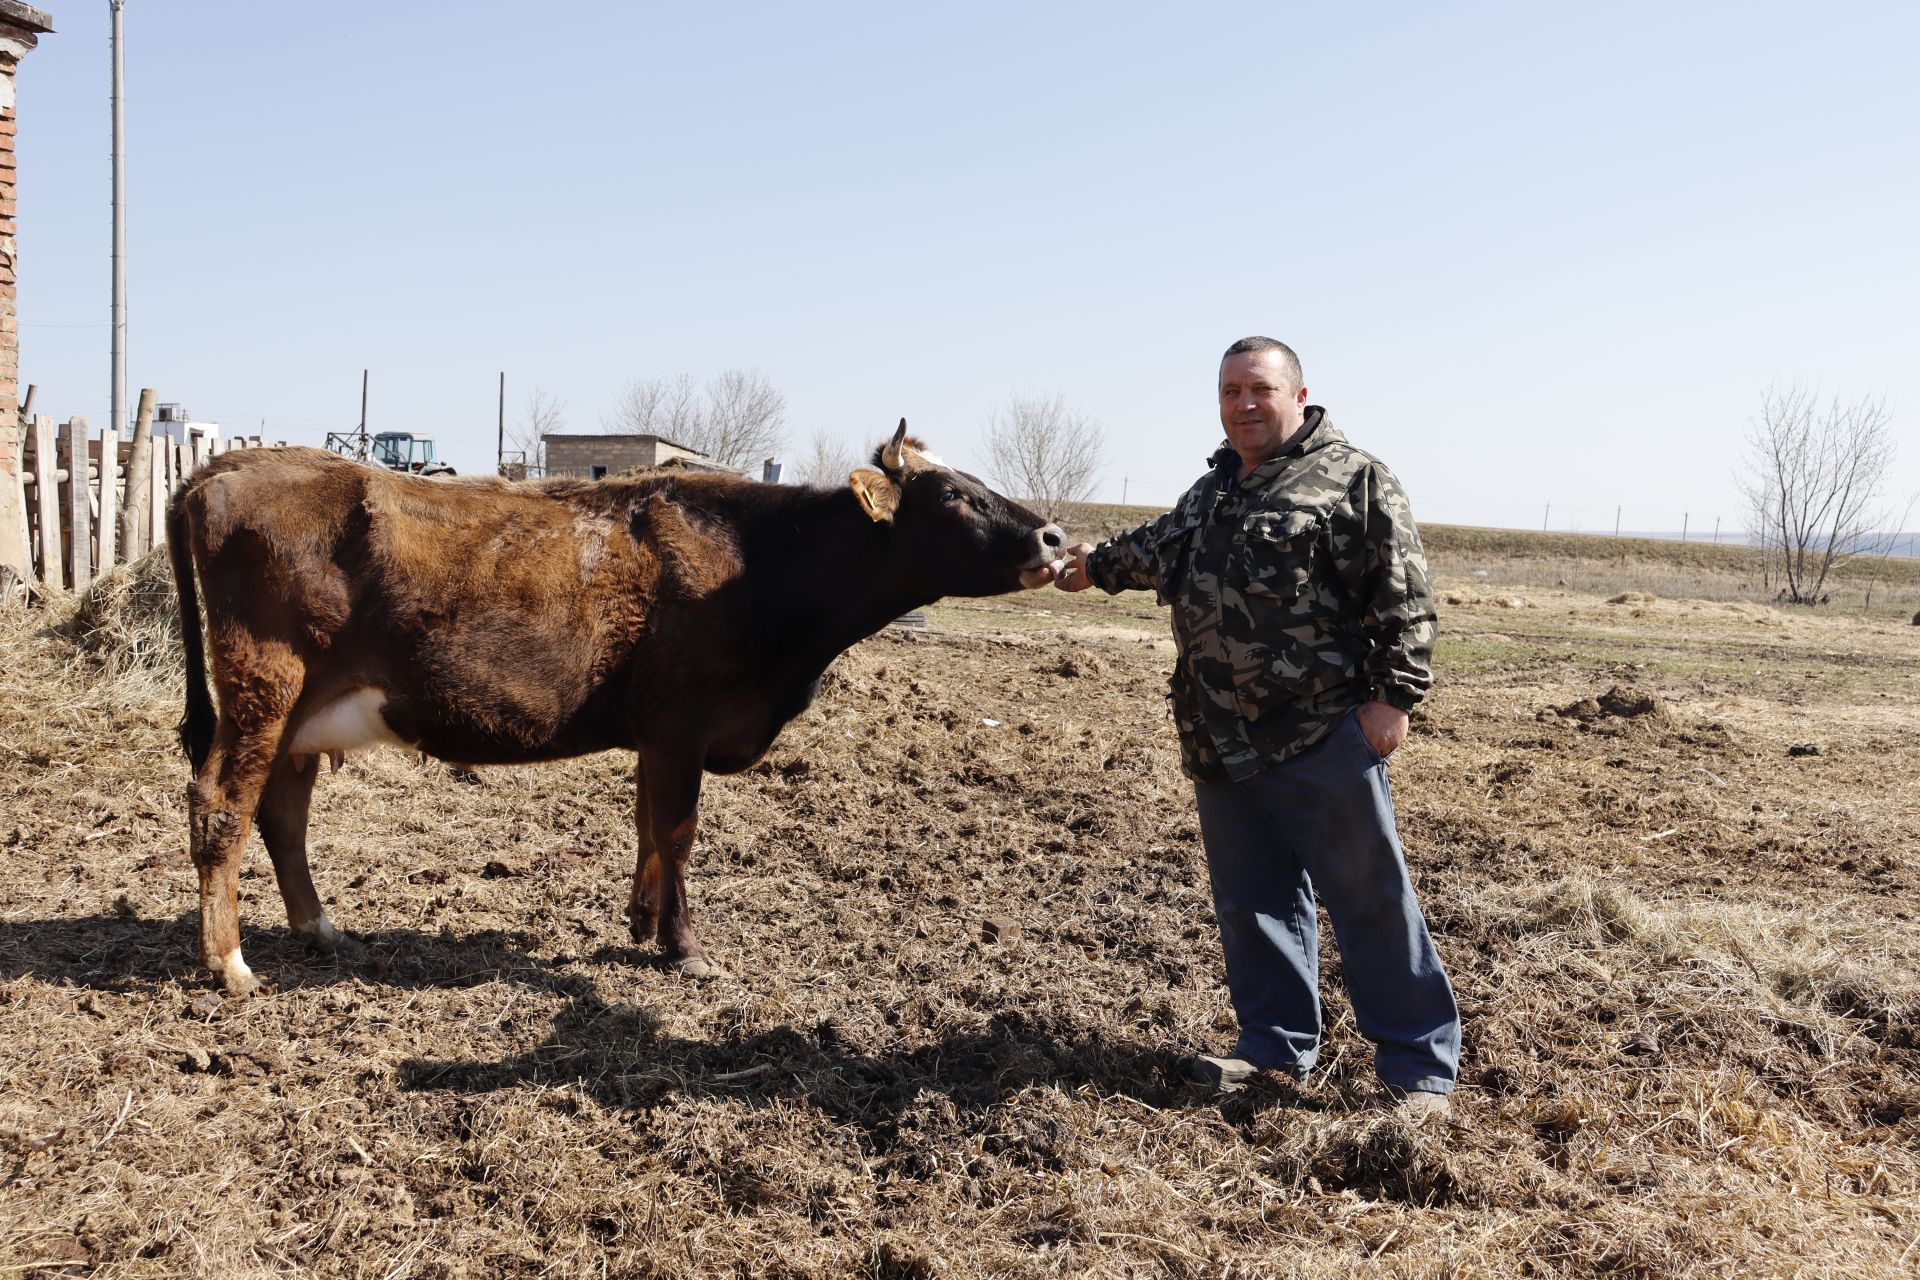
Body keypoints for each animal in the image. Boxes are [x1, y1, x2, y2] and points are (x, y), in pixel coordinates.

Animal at [165, 426, 1067, 997]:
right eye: (952, 496)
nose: (1055, 538)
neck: (760, 563)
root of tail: (224, 469)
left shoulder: (657, 735)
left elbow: (647, 828)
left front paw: (640, 921)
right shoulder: (681, 726)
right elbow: (678, 830)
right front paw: (684, 947)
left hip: (301, 715)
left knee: (281, 811)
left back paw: (317, 926)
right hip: (263, 688)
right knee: (222, 805)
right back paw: (229, 964)